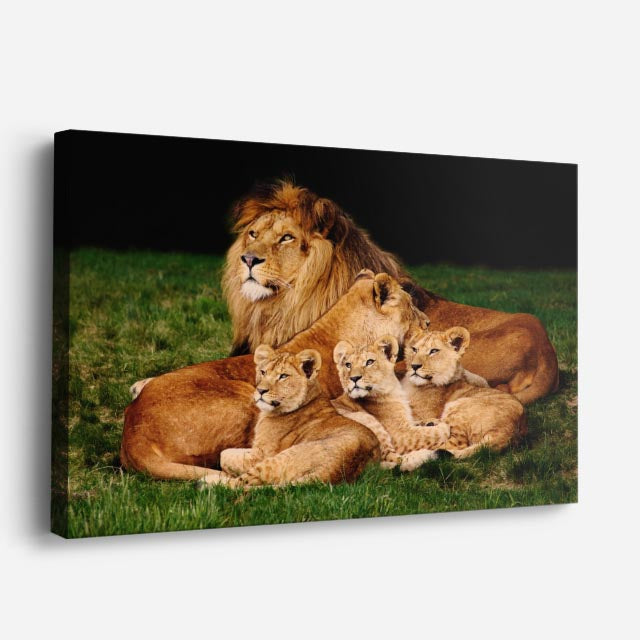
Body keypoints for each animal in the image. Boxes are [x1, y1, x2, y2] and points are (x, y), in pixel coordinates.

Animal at [218, 345, 380, 487]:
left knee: (236, 486)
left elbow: (224, 455)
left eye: (283, 376)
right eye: (263, 372)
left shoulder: (260, 455)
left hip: (280, 459)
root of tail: (333, 471)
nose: (261, 391)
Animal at [332, 335, 452, 472]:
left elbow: (417, 422)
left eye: (369, 362)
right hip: (367, 420)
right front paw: (443, 426)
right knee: (395, 461)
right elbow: (433, 433)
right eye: (348, 365)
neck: (393, 390)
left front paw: (431, 422)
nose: (354, 378)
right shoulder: (401, 435)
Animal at [403, 326, 527, 459]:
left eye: (434, 351)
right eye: (414, 349)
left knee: (452, 443)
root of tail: (509, 431)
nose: (414, 366)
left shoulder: (420, 413)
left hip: (457, 407)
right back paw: (429, 424)